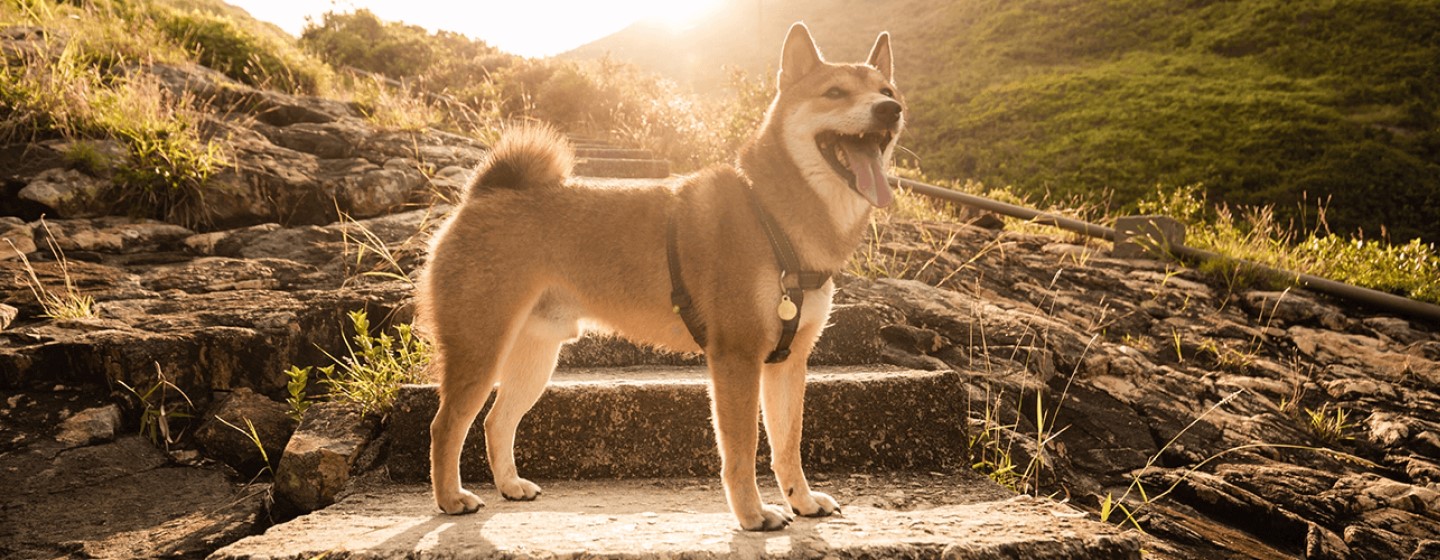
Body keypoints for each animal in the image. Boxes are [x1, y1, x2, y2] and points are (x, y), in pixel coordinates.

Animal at [417, 20, 904, 526]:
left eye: (886, 91)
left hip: (535, 357)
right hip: (480, 348)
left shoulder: (788, 361)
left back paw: (510, 486)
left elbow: (788, 444)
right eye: (835, 92)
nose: (891, 109)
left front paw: (802, 501)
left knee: (497, 420)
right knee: (445, 425)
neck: (773, 215)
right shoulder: (736, 357)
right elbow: (742, 450)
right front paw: (752, 514)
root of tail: (480, 195)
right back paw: (450, 497)